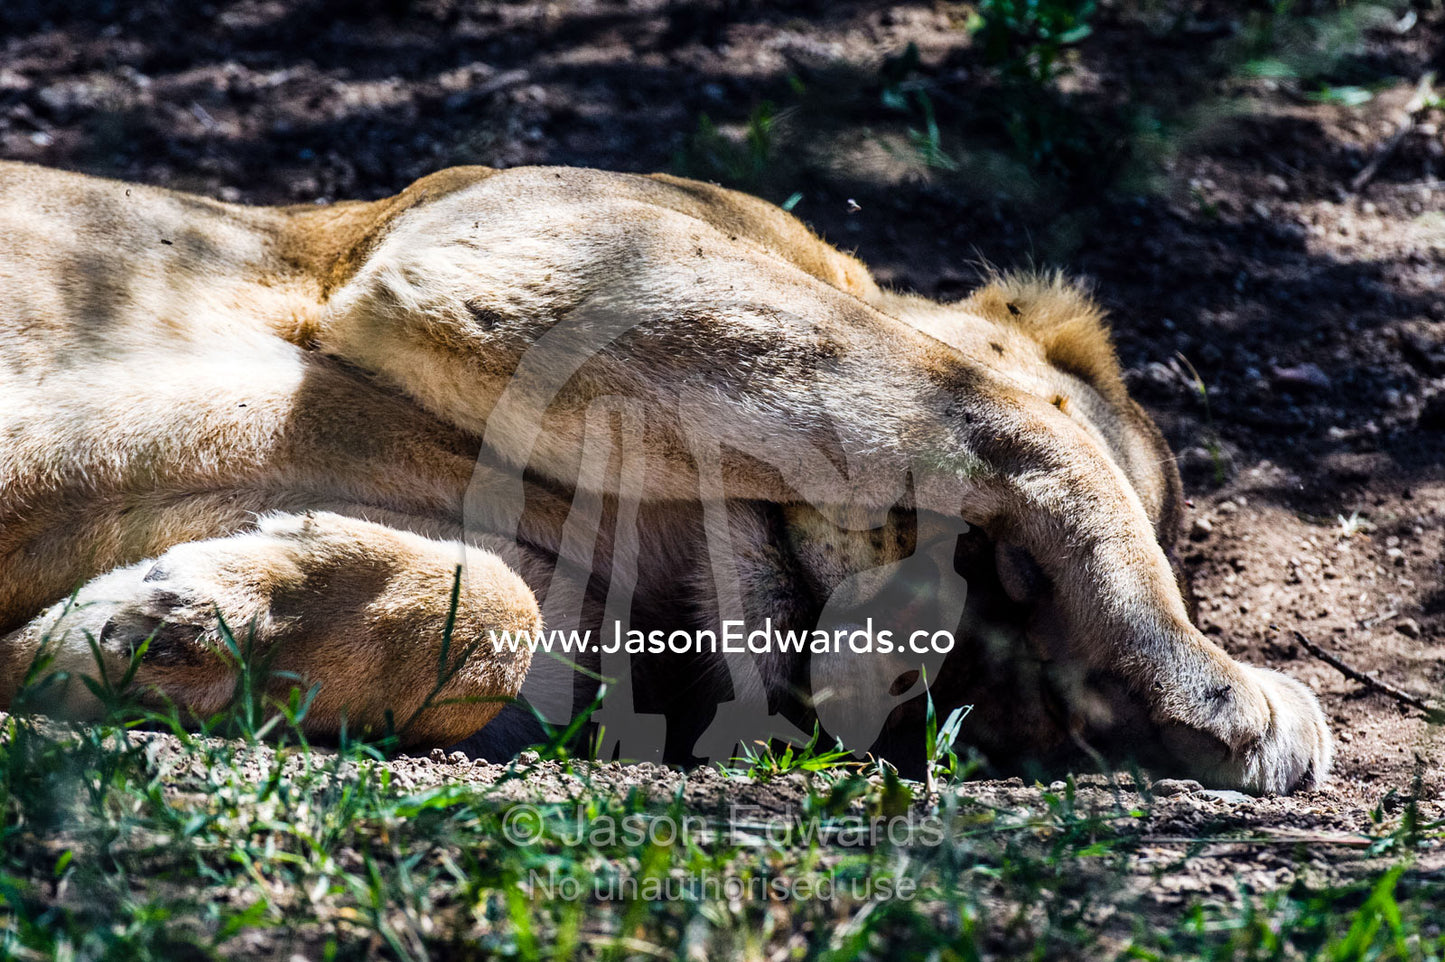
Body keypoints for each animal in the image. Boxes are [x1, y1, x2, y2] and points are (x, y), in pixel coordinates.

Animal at [0, 160, 1331, 792]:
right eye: (1006, 572)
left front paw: (151, 630)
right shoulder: (521, 236)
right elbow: (1003, 415)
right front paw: (1224, 686)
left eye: (972, 685)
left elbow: (487, 608)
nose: (909, 646)